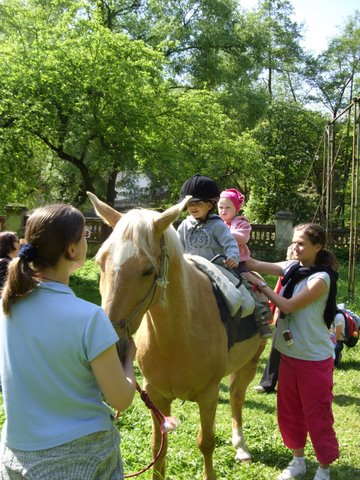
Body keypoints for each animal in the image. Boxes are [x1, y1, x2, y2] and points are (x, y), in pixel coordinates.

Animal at [87, 193, 268, 480]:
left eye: (147, 270)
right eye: (100, 262)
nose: (111, 348)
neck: (177, 336)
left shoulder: (209, 394)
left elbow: (206, 443)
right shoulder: (156, 395)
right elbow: (158, 449)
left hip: (250, 364)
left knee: (237, 398)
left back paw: (241, 447)